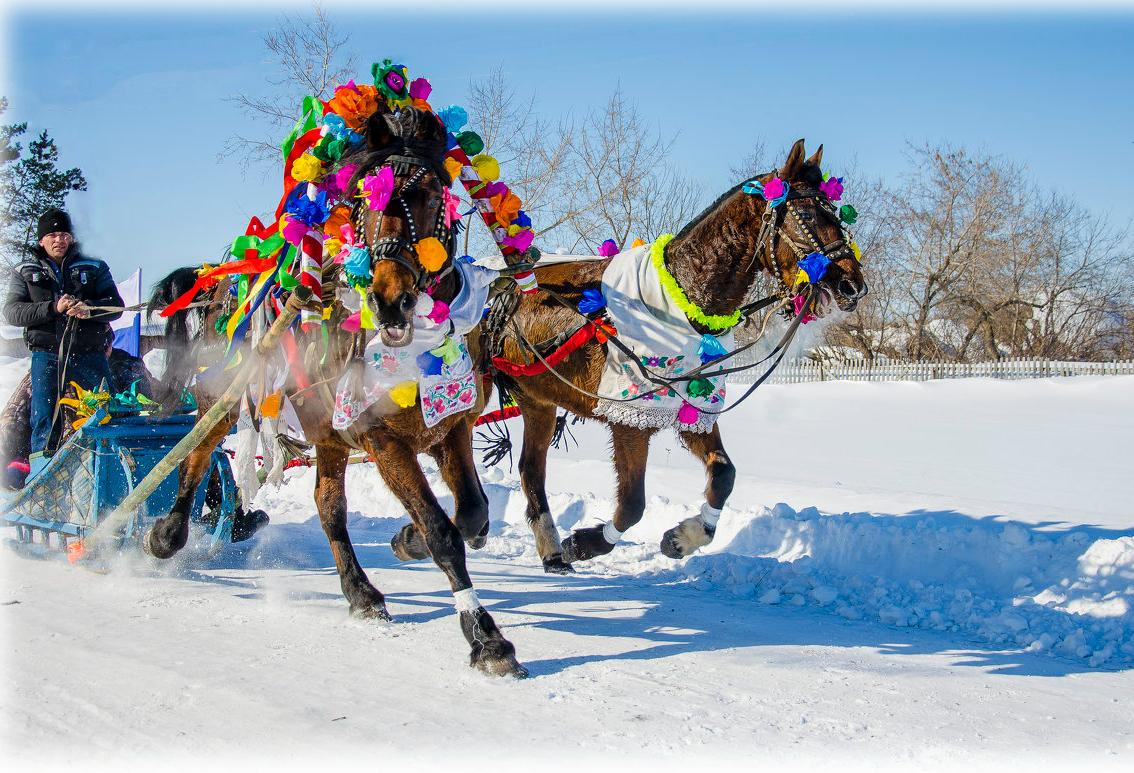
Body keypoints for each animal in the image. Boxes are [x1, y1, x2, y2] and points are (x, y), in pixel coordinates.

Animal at [144, 103, 528, 675]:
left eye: (430, 192)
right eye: (359, 199)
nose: (391, 300)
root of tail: (222, 282)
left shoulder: (450, 426)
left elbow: (473, 515)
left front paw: (406, 539)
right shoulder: (383, 439)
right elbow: (444, 534)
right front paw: (485, 637)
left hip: (325, 432)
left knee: (328, 506)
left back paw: (360, 591)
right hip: (228, 398)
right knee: (196, 454)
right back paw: (167, 534)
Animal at [471, 138, 866, 571]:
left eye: (838, 216)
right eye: (808, 214)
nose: (853, 285)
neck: (680, 297)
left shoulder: (693, 405)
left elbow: (723, 475)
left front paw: (685, 537)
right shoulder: (631, 418)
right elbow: (631, 504)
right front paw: (588, 542)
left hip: (537, 399)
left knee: (531, 468)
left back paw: (551, 550)